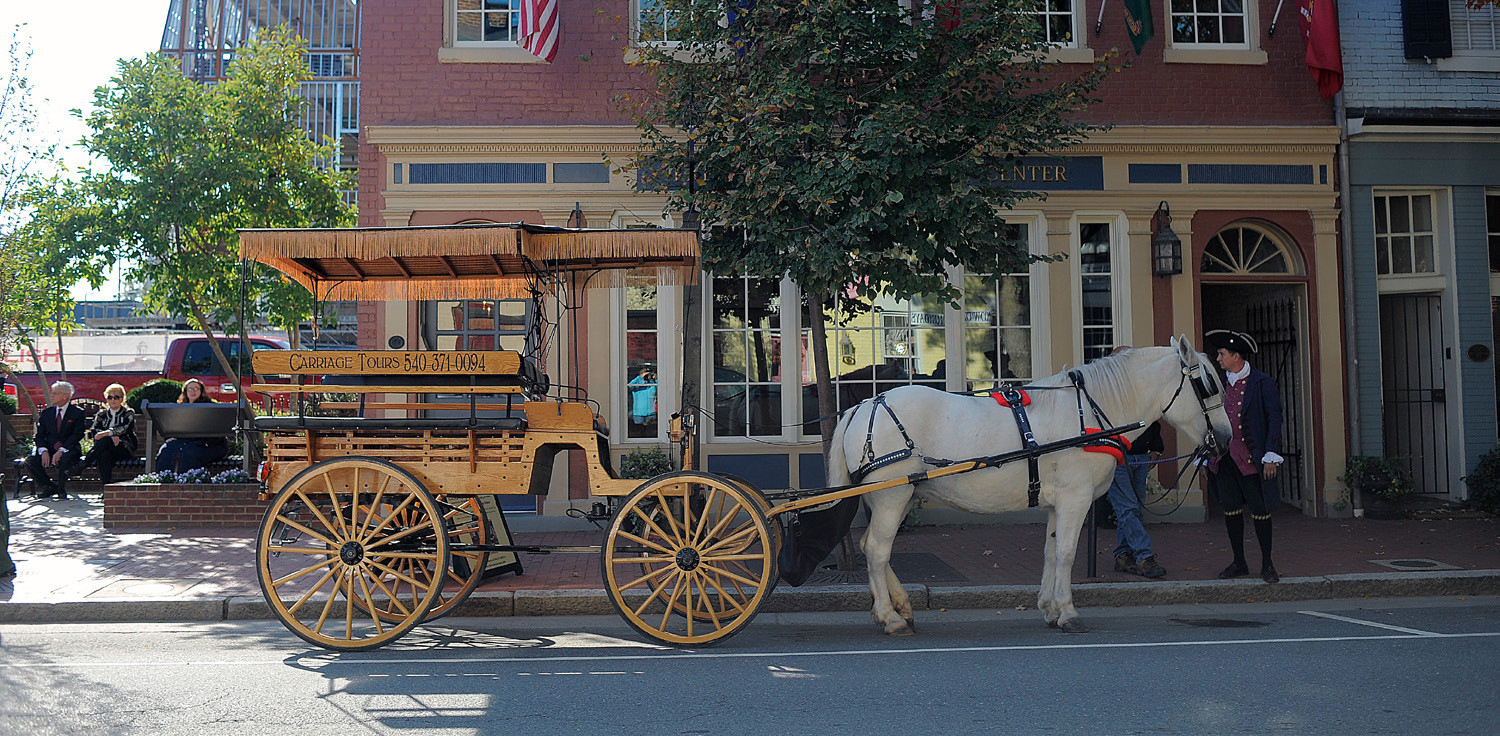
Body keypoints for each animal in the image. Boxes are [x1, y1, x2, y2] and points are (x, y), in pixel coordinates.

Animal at [828, 337, 1236, 635]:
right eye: (1207, 386)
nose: (1226, 438)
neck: (1091, 411)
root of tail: (864, 405)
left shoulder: (1058, 502)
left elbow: (1050, 552)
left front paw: (1049, 608)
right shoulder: (1076, 498)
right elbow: (1067, 553)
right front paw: (1068, 612)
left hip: (891, 496)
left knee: (873, 548)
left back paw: (900, 606)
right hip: (892, 496)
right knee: (877, 550)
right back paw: (890, 617)